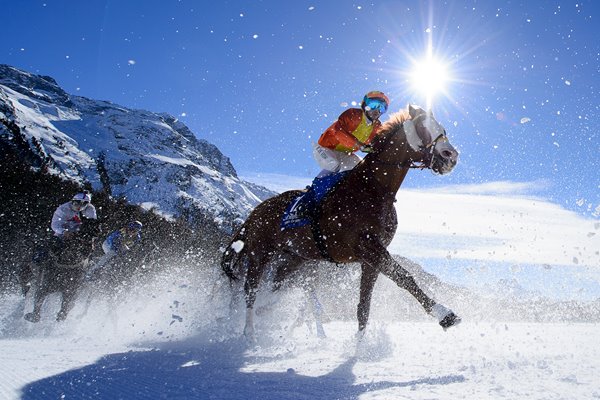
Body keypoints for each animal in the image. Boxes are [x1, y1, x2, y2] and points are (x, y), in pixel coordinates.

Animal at [223, 104, 462, 340]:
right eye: (423, 127)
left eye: (443, 129)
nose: (451, 155)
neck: (373, 188)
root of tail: (256, 210)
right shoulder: (367, 246)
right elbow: (404, 277)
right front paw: (445, 314)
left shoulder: (371, 258)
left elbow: (364, 307)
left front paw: (359, 346)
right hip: (260, 252)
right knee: (251, 289)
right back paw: (249, 332)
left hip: (295, 257)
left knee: (275, 287)